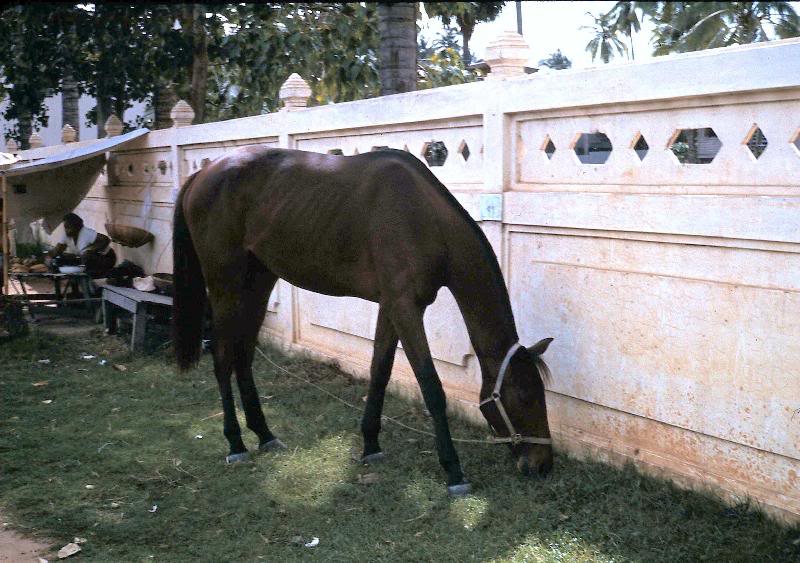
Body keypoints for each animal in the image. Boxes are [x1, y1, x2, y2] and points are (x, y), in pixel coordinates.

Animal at [172, 146, 554, 495]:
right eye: (525, 397)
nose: (543, 465)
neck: (423, 217)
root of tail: (203, 173)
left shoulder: (391, 307)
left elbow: (379, 372)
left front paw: (371, 445)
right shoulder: (405, 308)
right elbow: (431, 387)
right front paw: (453, 471)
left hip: (258, 281)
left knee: (244, 357)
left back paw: (265, 434)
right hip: (225, 285)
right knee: (223, 358)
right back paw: (235, 443)